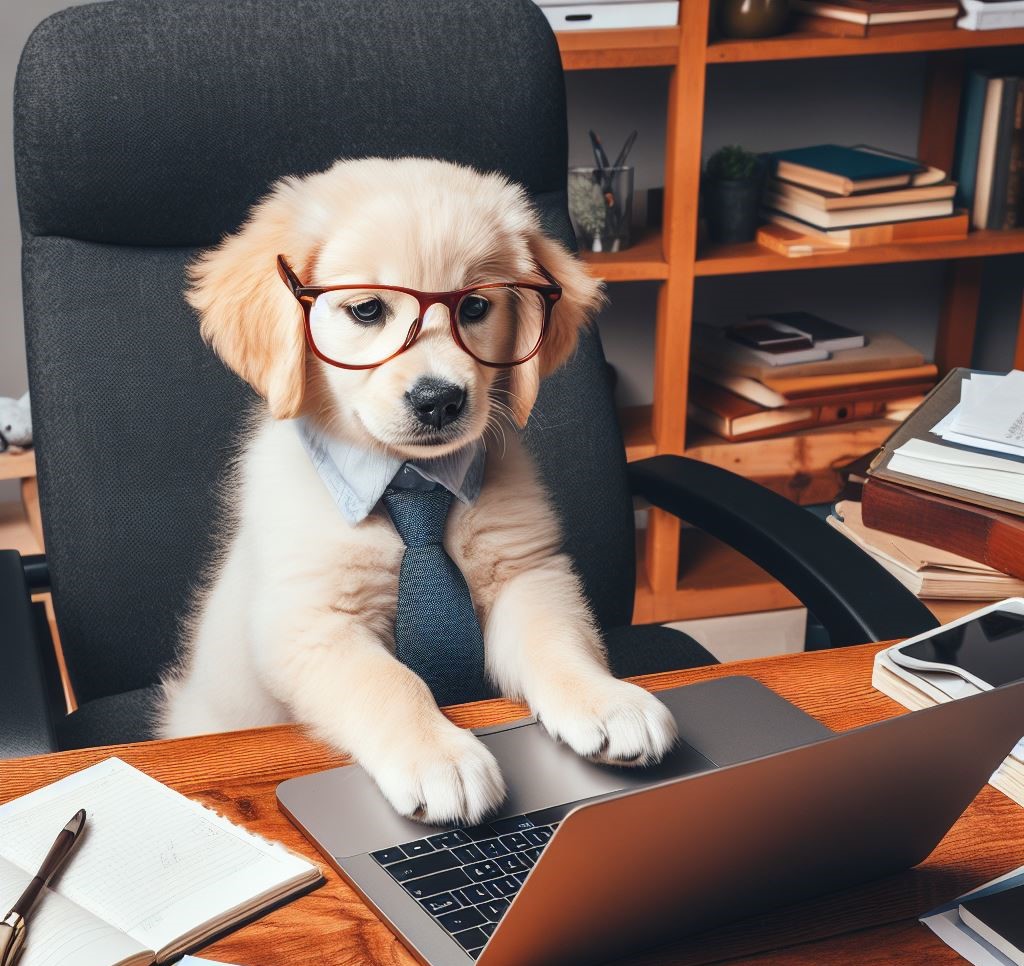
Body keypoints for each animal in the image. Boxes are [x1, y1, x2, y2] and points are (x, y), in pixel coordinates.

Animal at [159, 158, 675, 823]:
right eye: (366, 310)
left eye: (475, 306)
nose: (439, 401)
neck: (411, 486)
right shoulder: (307, 619)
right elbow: (389, 681)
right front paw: (439, 754)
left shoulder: (527, 574)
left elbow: (557, 641)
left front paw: (608, 700)